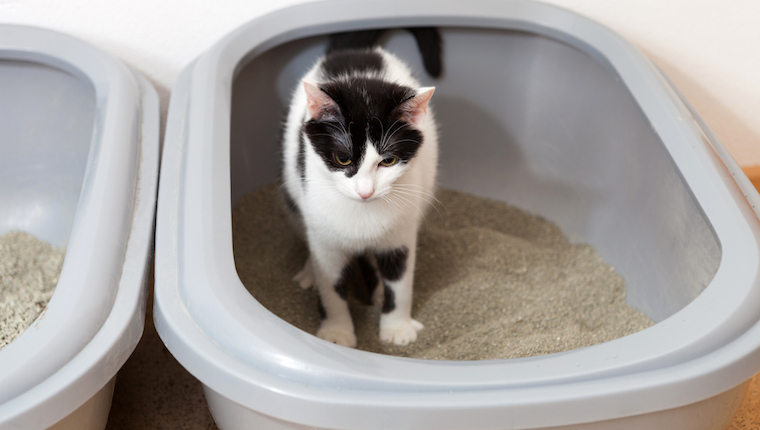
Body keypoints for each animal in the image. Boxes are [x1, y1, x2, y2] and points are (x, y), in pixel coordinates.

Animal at [280, 26, 442, 348]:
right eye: (343, 158)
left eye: (389, 160)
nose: (365, 191)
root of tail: (354, 52)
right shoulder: (325, 239)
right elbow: (331, 286)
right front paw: (337, 331)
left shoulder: (401, 233)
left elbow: (400, 281)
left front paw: (397, 328)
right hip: (293, 192)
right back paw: (308, 272)